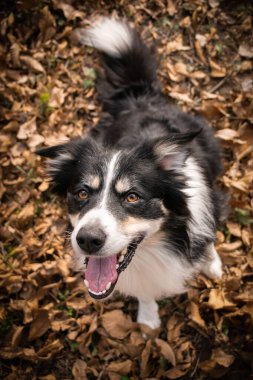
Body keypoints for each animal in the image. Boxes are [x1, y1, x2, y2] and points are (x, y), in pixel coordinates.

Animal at [39, 17, 225, 328]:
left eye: (133, 197)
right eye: (82, 193)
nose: (87, 240)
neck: (158, 247)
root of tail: (138, 96)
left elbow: (208, 238)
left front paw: (211, 263)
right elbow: (143, 291)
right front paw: (148, 318)